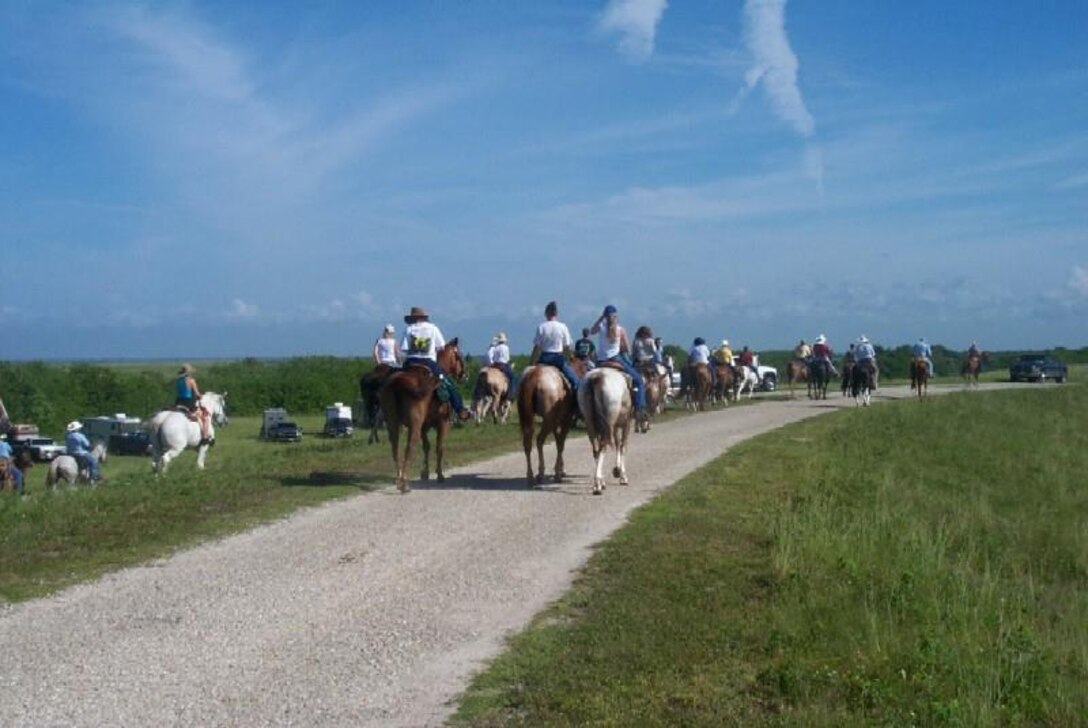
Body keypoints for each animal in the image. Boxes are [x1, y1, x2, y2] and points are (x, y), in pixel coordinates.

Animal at [378, 341, 463, 494]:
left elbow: (426, 447)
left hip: (393, 423)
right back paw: (404, 484)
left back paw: (399, 479)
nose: (464, 374)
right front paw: (439, 474)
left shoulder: (424, 426)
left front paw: (425, 473)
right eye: (458, 355)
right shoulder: (443, 424)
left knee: (395, 448)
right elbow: (439, 447)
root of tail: (398, 381)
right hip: (414, 426)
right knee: (409, 447)